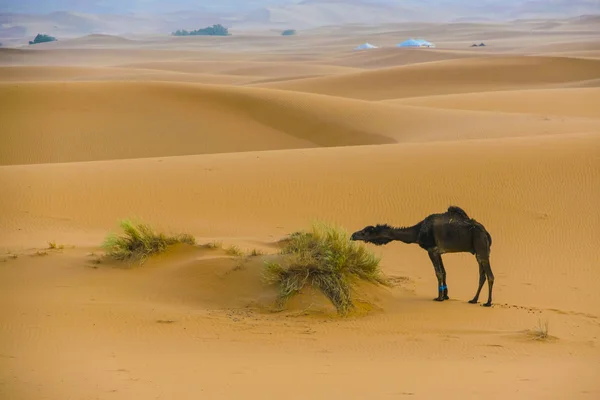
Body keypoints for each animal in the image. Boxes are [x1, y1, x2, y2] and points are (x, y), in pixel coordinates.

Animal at [350, 206, 494, 306]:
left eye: (365, 232)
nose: (353, 235)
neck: (418, 231)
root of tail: (486, 233)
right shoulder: (439, 252)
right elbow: (444, 272)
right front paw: (446, 296)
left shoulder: (432, 250)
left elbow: (438, 273)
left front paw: (439, 298)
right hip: (478, 251)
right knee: (482, 275)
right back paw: (474, 300)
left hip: (481, 247)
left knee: (490, 275)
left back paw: (487, 303)